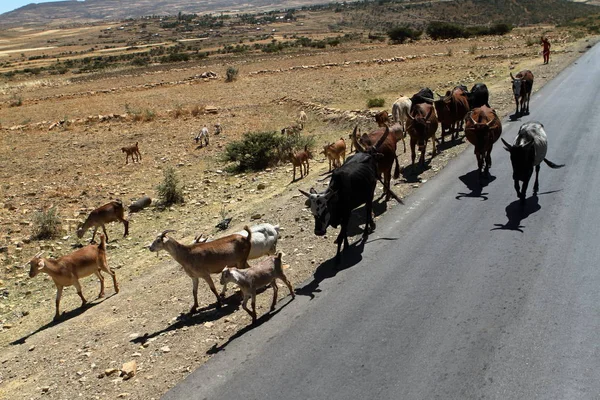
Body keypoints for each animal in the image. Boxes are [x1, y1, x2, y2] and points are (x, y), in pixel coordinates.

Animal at [298, 127, 390, 262]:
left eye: (325, 210)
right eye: (313, 212)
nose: (318, 232)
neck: (336, 197)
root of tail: (367, 154)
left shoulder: (346, 214)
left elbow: (341, 235)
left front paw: (337, 258)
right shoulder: (342, 218)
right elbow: (344, 232)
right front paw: (346, 246)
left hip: (370, 193)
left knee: (368, 210)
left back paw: (366, 231)